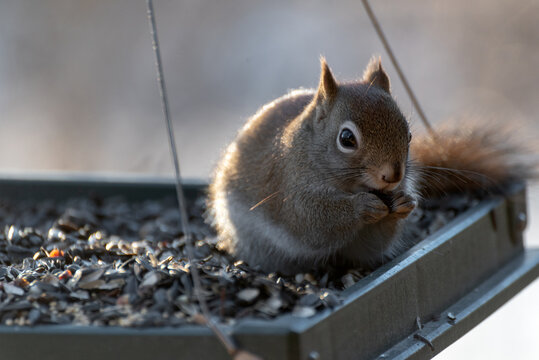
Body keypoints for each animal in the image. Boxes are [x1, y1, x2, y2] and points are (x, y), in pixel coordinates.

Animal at [209, 57, 532, 276]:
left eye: (409, 134)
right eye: (346, 138)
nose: (393, 176)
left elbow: (376, 241)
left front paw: (404, 202)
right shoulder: (290, 190)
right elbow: (312, 221)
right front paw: (360, 207)